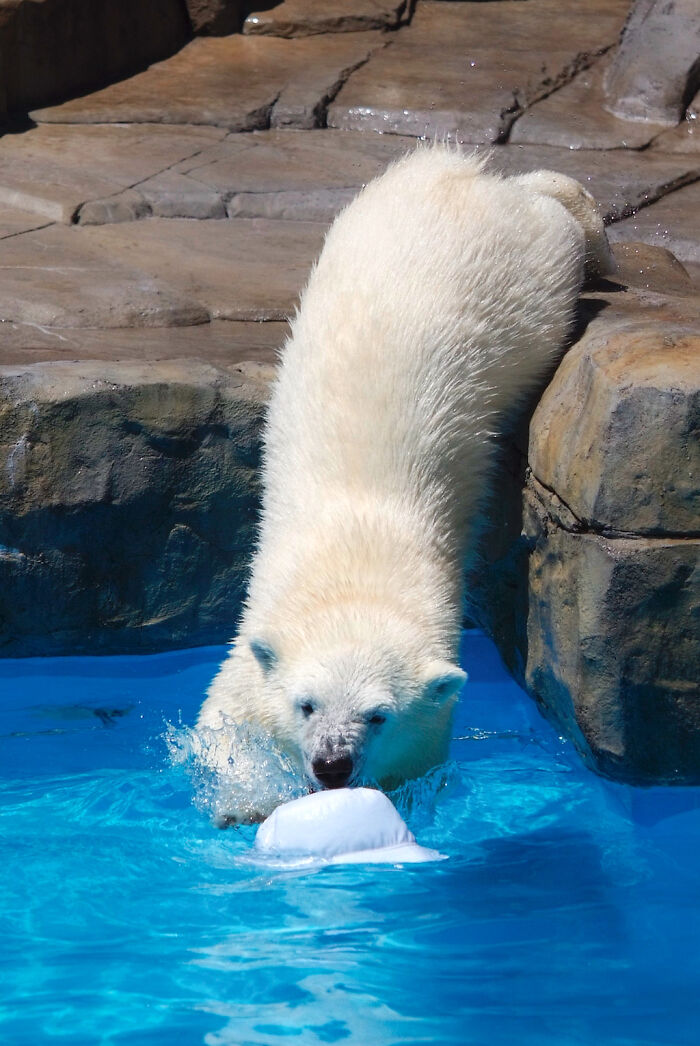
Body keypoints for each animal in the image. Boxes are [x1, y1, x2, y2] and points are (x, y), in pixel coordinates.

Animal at [197, 146, 614, 823]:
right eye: (306, 704)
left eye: (378, 716)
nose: (332, 765)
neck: (355, 566)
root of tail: (455, 171)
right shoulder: (257, 630)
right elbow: (224, 717)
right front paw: (245, 798)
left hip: (520, 287)